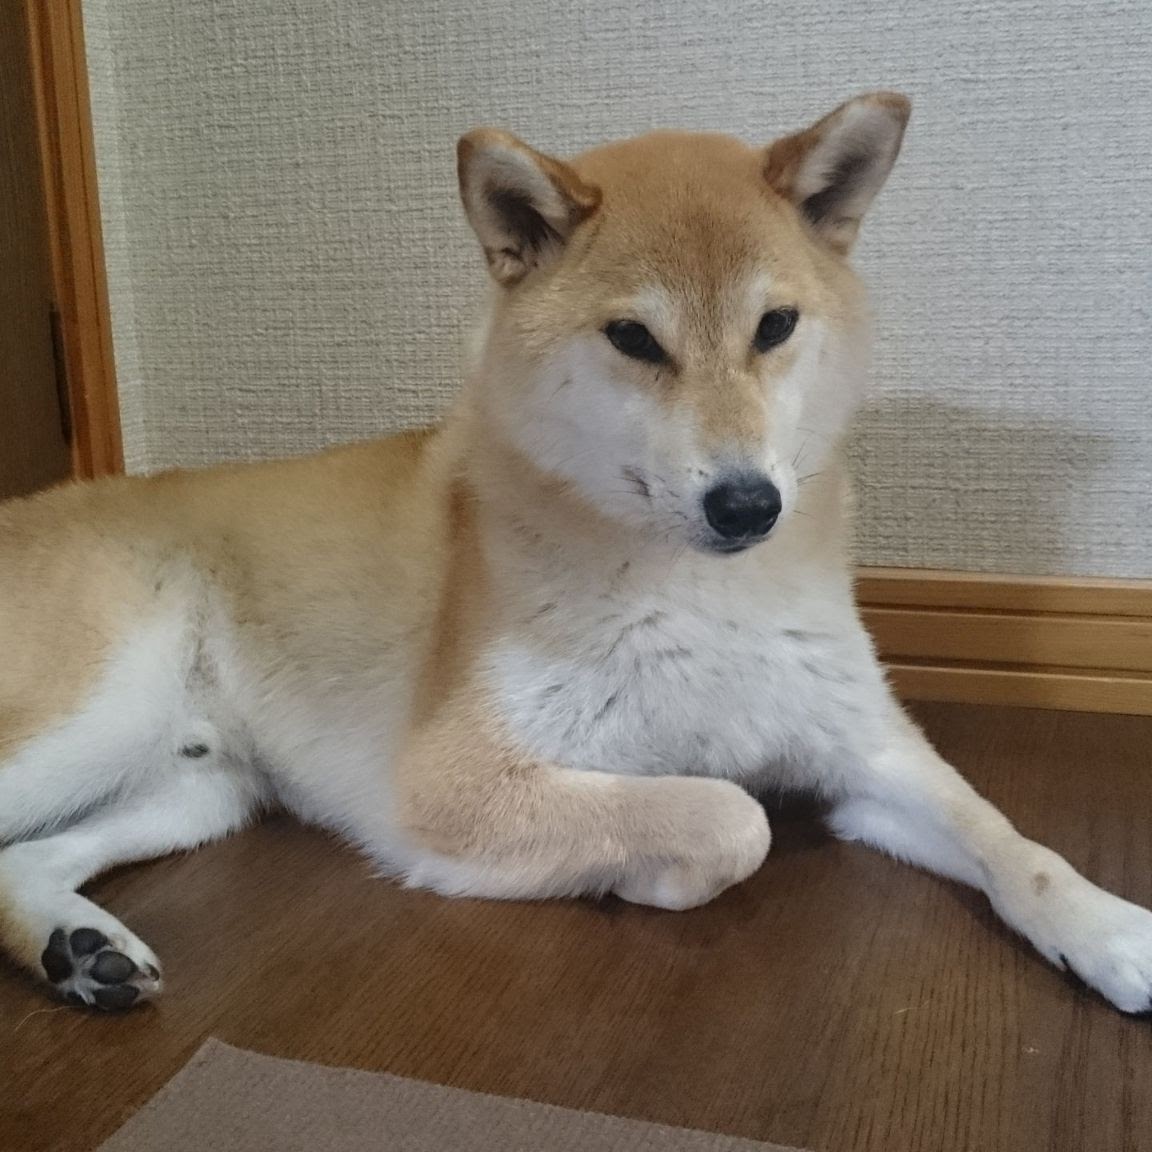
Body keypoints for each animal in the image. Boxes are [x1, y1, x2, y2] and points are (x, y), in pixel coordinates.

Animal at [1, 92, 1150, 1014]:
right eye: (634, 340)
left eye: (775, 325)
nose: (748, 503)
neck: (704, 597)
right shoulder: (456, 780)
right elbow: (729, 815)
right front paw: (647, 873)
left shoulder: (864, 749)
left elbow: (1012, 841)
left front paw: (1109, 927)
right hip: (96, 715)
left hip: (198, 788)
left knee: (21, 862)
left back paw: (81, 949)